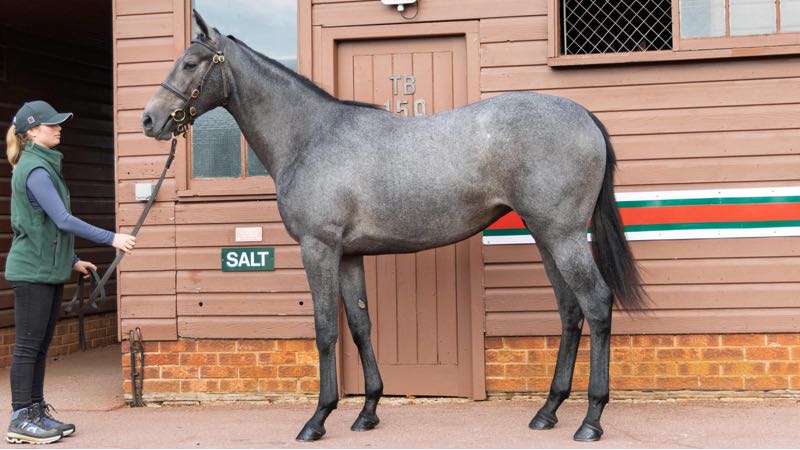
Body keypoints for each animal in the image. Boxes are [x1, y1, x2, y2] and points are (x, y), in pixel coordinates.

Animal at [142, 10, 647, 443]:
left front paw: (317, 419)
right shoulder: (348, 255)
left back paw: (591, 419)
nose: (150, 119)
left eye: (190, 63)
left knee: (597, 304)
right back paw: (548, 410)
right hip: (546, 236)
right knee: (570, 311)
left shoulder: (318, 248)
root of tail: (583, 115)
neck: (310, 137)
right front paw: (367, 412)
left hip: (563, 237)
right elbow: (361, 325)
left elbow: (325, 329)